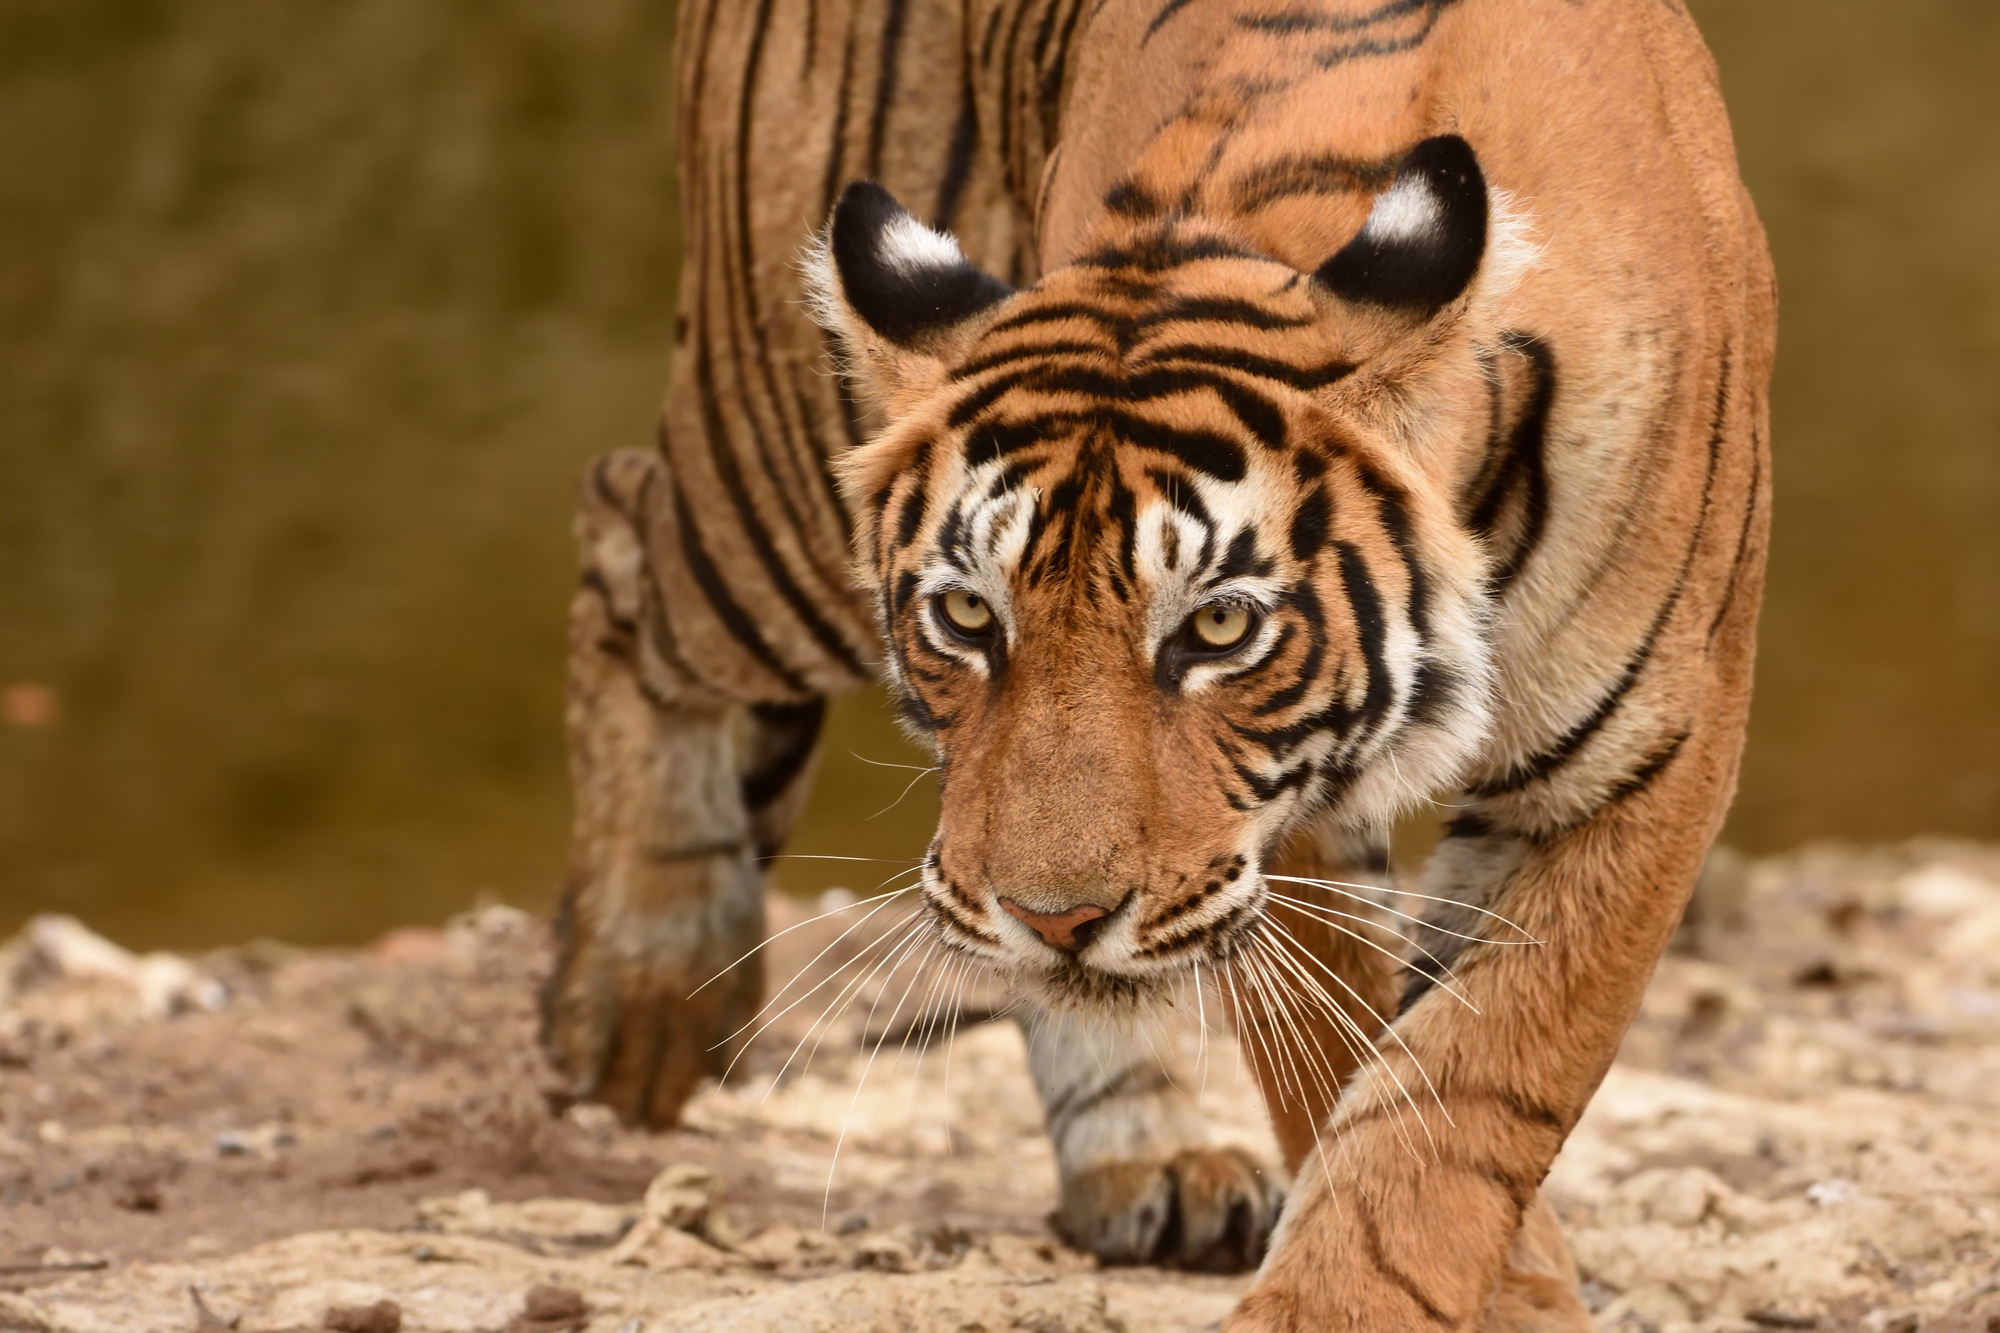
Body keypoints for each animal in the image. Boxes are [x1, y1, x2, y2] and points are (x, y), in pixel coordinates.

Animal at [537, 0, 1774, 1328]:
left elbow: (1471, 1082)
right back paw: (641, 997)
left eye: (1218, 629)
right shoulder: (1284, 821)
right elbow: (1346, 1057)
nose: (1056, 919)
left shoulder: (1636, 771)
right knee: (620, 520)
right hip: (773, 470)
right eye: (966, 615)